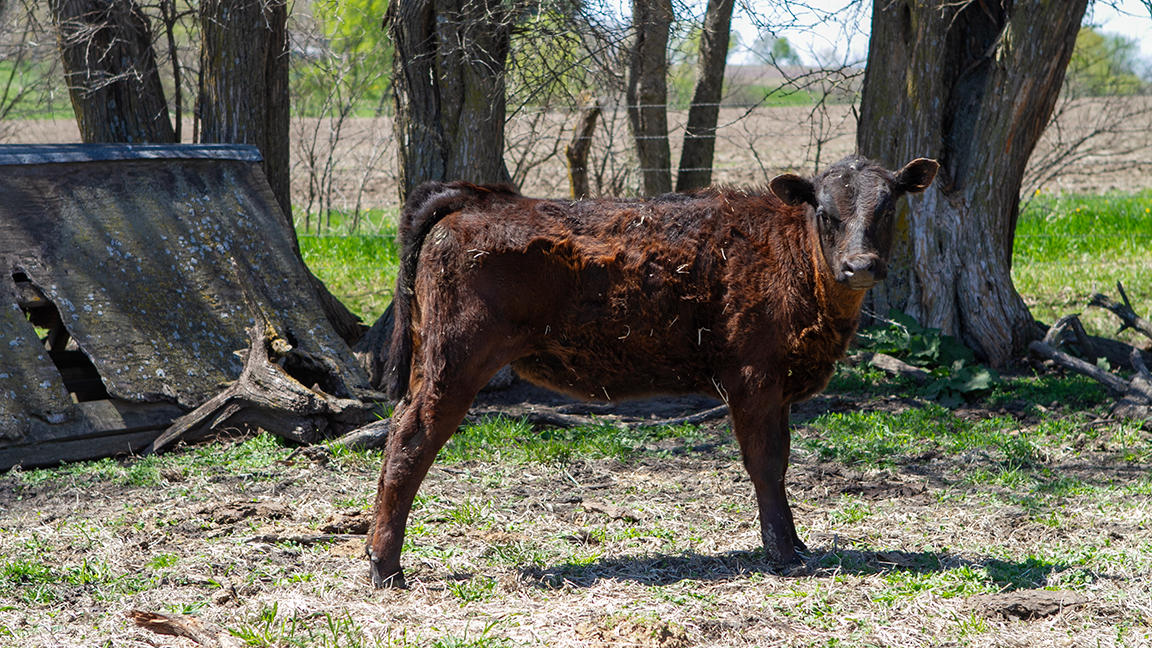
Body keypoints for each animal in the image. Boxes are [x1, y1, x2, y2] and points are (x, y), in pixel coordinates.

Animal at [367, 154, 939, 588]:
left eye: (887, 206)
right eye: (824, 211)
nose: (860, 266)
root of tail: (481, 200)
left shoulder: (777, 389)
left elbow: (780, 464)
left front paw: (794, 542)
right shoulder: (754, 380)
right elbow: (765, 463)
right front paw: (782, 553)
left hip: (432, 363)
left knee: (399, 432)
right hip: (456, 361)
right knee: (410, 442)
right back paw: (385, 567)